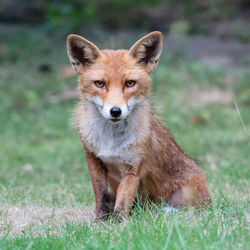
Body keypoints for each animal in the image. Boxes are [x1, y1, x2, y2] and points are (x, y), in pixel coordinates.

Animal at [65, 31, 210, 219]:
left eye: (130, 83)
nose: (115, 111)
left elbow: (122, 202)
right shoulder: (93, 159)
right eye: (99, 83)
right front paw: (100, 221)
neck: (110, 141)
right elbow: (101, 196)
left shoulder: (133, 166)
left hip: (185, 194)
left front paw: (119, 223)